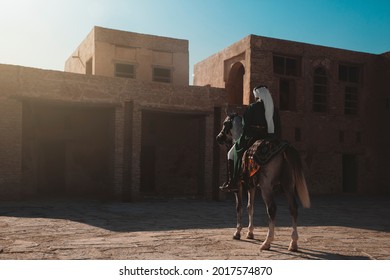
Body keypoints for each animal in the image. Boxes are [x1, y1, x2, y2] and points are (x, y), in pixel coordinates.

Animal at [215, 112, 310, 250]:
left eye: (224, 123)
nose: (218, 137)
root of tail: (284, 148)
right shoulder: (252, 186)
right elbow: (250, 207)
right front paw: (250, 233)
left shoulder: (238, 186)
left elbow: (239, 207)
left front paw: (237, 232)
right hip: (288, 184)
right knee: (293, 208)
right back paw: (293, 243)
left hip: (266, 187)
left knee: (272, 209)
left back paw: (267, 242)